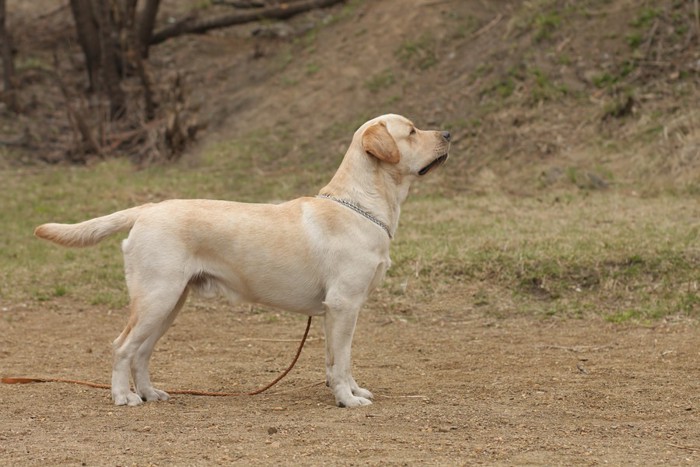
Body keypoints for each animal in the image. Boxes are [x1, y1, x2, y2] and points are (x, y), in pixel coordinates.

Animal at [37, 115, 454, 408]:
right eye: (412, 131)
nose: (449, 134)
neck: (361, 204)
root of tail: (148, 208)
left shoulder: (337, 312)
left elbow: (337, 360)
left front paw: (351, 391)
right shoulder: (344, 304)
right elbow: (343, 360)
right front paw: (346, 400)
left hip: (170, 303)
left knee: (141, 351)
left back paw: (151, 393)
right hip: (157, 298)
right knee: (122, 346)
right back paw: (123, 396)